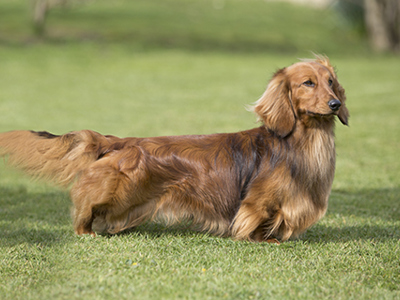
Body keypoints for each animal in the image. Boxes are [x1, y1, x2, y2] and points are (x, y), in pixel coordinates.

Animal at [0, 56, 346, 244]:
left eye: (331, 82)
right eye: (307, 83)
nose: (335, 104)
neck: (304, 142)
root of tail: (119, 141)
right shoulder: (256, 203)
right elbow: (255, 220)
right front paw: (264, 239)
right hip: (113, 190)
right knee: (84, 206)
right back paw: (87, 231)